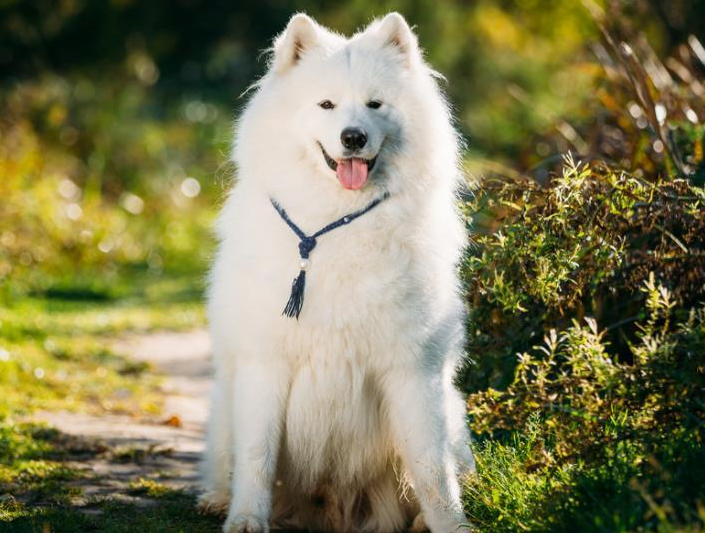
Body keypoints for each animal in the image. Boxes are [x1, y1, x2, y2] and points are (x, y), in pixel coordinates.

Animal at [201, 12, 476, 532]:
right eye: (326, 104)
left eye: (375, 104)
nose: (353, 137)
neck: (337, 227)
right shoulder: (264, 364)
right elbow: (256, 455)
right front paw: (246, 518)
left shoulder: (414, 370)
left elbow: (431, 468)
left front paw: (452, 525)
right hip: (223, 405)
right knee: (223, 459)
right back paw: (215, 499)